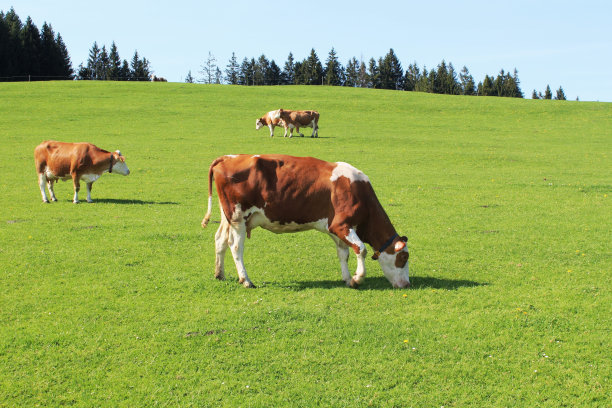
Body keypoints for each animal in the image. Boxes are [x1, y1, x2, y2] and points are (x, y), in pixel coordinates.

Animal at [202, 154, 412, 290]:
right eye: (403, 258)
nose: (407, 284)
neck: (357, 189)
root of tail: (228, 158)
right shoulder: (341, 225)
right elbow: (361, 249)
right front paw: (358, 278)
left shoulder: (334, 228)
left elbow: (343, 254)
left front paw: (347, 279)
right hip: (238, 217)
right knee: (235, 246)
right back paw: (246, 280)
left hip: (228, 216)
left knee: (220, 240)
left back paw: (219, 274)